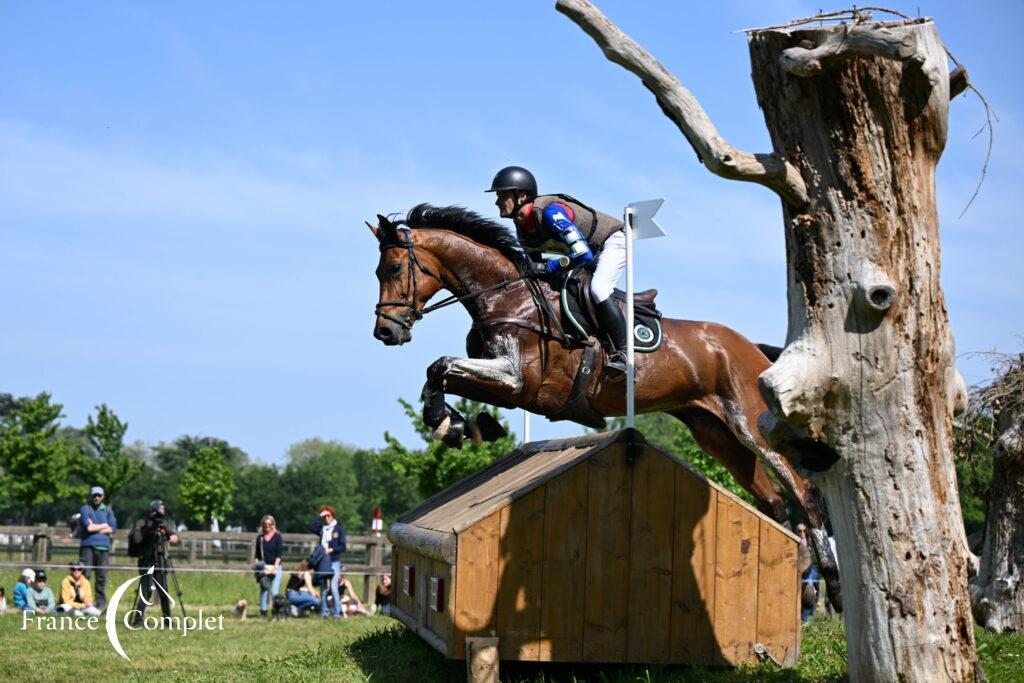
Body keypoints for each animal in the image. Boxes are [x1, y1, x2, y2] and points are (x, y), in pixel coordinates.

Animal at [368, 202, 839, 610]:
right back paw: (796, 583)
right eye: (378, 270)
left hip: (749, 424)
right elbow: (442, 374)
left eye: (394, 268)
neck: (509, 297)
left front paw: (449, 423)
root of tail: (752, 350)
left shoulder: (520, 382)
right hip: (716, 435)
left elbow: (441, 366)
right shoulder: (508, 386)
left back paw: (830, 586)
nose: (386, 333)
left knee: (805, 492)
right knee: (772, 500)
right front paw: (460, 425)